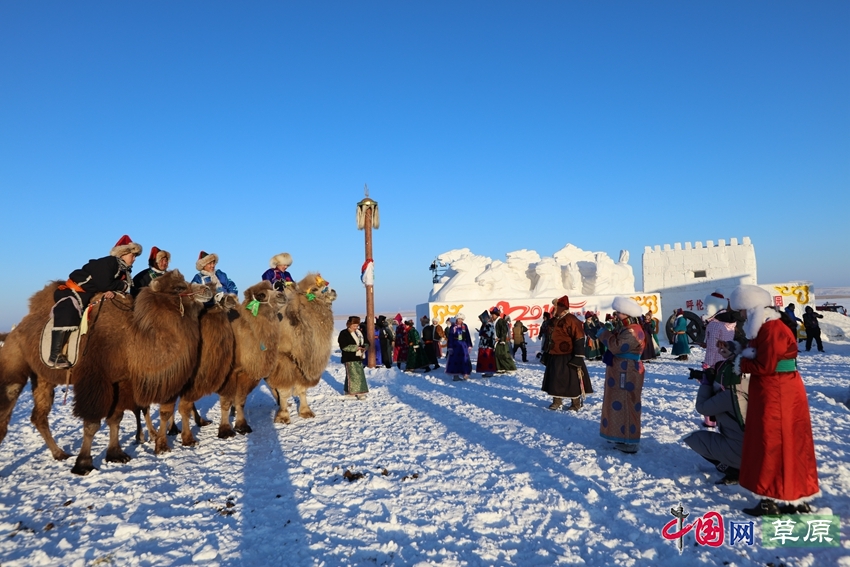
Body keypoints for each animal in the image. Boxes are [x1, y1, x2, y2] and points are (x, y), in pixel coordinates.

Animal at [217, 282, 286, 438]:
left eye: (274, 288)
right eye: (261, 295)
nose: (282, 295)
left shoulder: (246, 373)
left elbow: (240, 400)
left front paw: (242, 426)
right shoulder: (228, 373)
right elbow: (226, 400)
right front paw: (225, 430)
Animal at [264, 272, 334, 424]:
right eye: (314, 289)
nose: (333, 291)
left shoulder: (302, 366)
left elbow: (302, 389)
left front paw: (306, 412)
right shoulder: (283, 360)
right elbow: (284, 390)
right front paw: (283, 416)